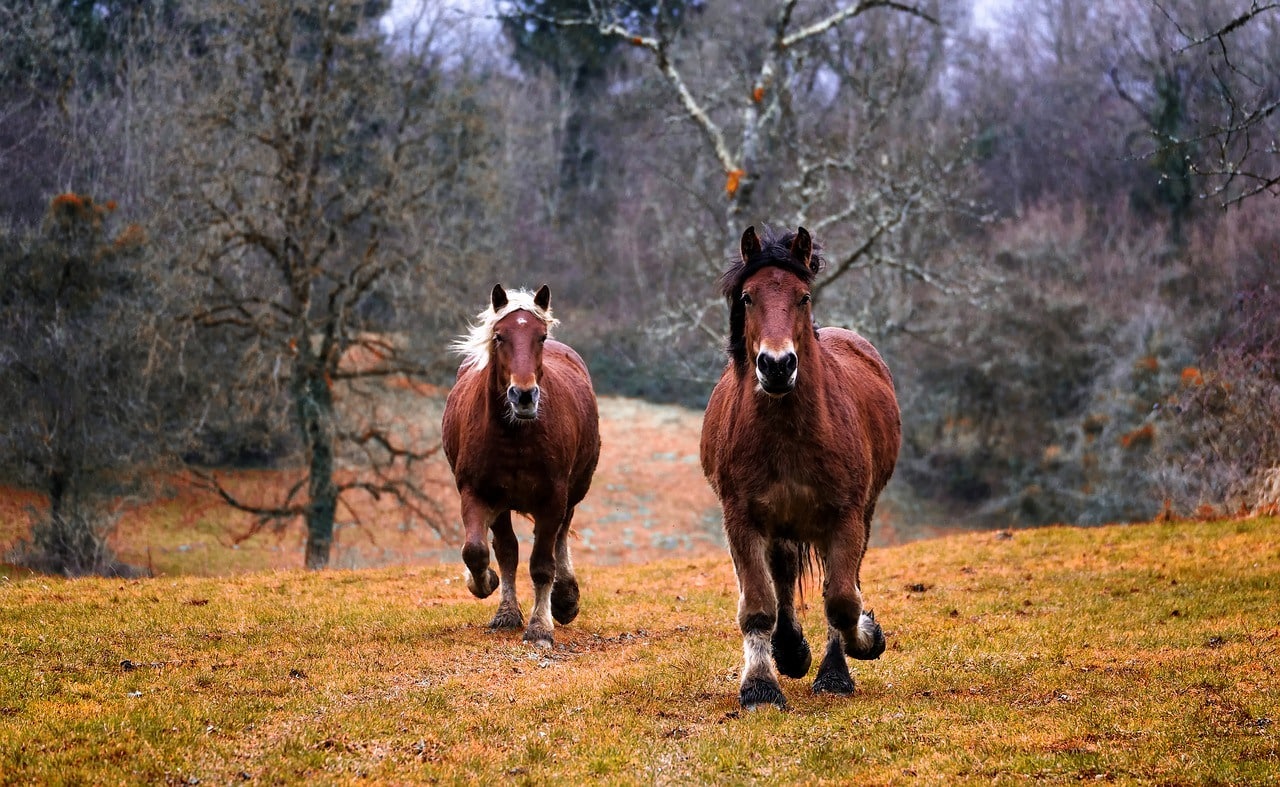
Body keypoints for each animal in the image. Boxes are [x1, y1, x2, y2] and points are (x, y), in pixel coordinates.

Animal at [442, 286, 601, 650]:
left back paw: (565, 599)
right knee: (507, 550)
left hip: (573, 492)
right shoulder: (477, 493)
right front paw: (485, 586)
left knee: (560, 538)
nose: (524, 396)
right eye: (499, 336)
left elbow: (542, 564)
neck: (515, 436)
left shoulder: (553, 498)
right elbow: (478, 551)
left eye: (540, 337)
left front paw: (541, 628)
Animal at [701, 225, 901, 711]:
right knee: (784, 576)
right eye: (748, 297)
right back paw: (789, 651)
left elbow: (843, 600)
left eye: (803, 296)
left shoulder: (846, 517)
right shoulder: (742, 519)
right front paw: (760, 686)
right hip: (781, 524)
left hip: (857, 516)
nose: (777, 366)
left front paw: (862, 645)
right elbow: (759, 604)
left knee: (838, 582)